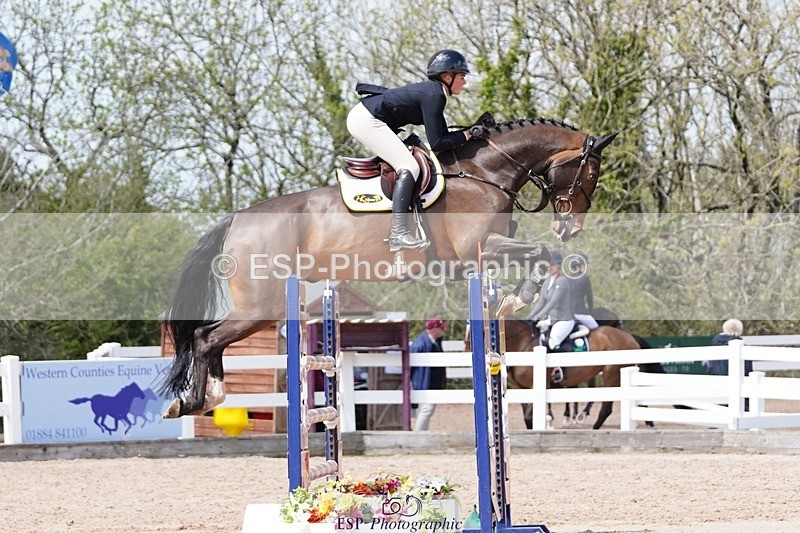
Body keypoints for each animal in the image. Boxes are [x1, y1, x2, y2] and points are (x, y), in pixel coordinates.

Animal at [159, 119, 618, 418]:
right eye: (591, 172)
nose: (570, 228)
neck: (485, 174)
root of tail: (237, 218)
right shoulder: (476, 251)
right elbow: (539, 250)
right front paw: (515, 298)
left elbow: (539, 253)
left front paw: (511, 298)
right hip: (261, 305)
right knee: (205, 337)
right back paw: (194, 402)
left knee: (210, 339)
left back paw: (208, 398)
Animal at [502, 318, 641, 430]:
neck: (522, 343)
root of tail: (630, 337)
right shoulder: (521, 387)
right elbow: (528, 419)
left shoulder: (535, 385)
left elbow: (529, 416)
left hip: (611, 376)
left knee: (606, 409)